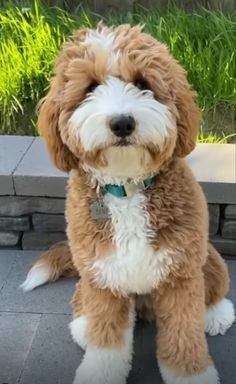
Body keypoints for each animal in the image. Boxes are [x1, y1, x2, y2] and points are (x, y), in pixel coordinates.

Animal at [21, 24, 235, 384]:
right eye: (91, 87)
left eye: (142, 83)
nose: (122, 122)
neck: (128, 188)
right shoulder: (104, 278)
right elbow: (107, 344)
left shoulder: (180, 275)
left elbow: (184, 337)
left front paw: (192, 374)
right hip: (87, 274)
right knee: (84, 303)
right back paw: (84, 326)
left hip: (208, 256)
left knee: (215, 285)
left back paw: (217, 314)